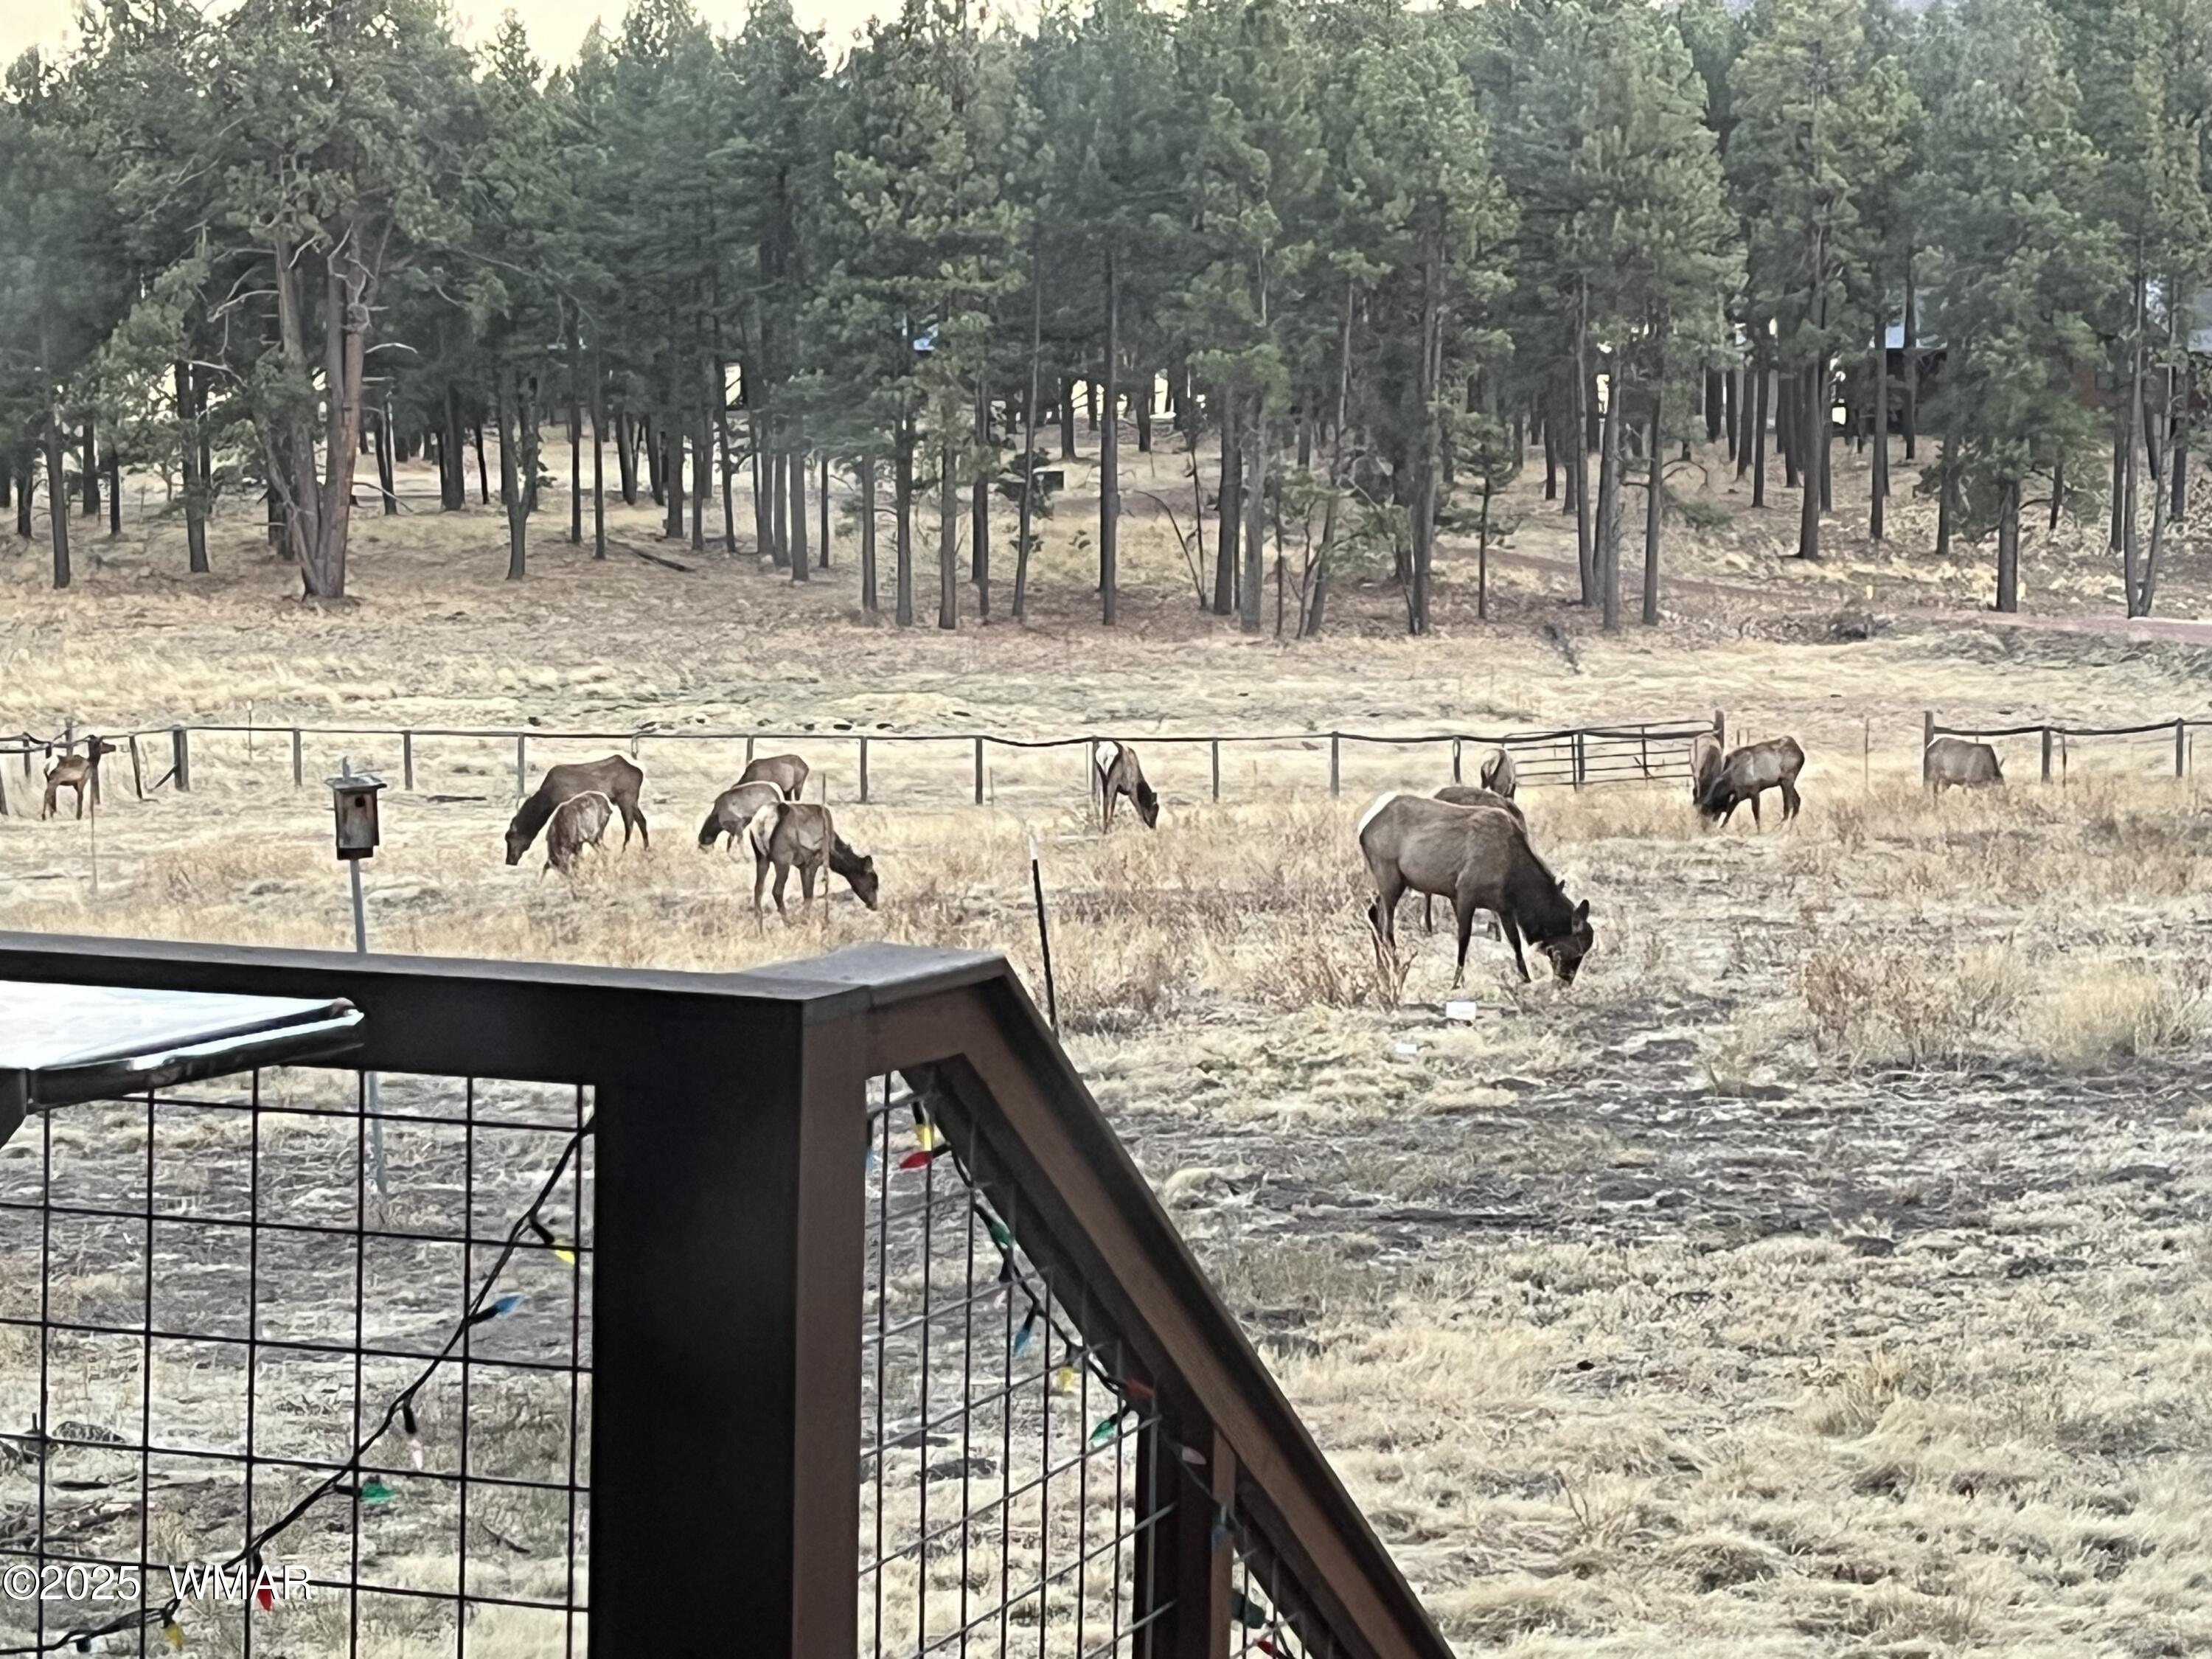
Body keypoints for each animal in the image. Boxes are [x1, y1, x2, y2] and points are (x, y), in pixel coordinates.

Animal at [506, 756, 649, 864]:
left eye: (510, 838)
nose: (509, 861)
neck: (548, 799)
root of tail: (639, 773)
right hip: (632, 801)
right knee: (642, 821)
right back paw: (647, 850)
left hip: (626, 798)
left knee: (629, 826)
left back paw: (623, 854)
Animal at [744, 800, 880, 920]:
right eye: (873, 882)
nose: (874, 905)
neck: (833, 854)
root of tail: (762, 821)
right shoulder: (812, 862)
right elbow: (809, 896)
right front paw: (806, 922)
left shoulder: (802, 866)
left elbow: (807, 896)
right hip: (783, 858)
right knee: (777, 891)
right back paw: (789, 923)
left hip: (761, 857)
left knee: (758, 890)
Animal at [1358, 792, 1594, 989]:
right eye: (1577, 952)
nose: (1565, 982)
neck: (1514, 882)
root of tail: (1363, 828)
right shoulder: (1464, 894)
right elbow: (1464, 938)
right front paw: (1456, 981)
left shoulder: (1503, 908)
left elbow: (1515, 942)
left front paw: (1526, 977)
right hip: (1389, 875)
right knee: (1386, 927)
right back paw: (1395, 967)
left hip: (1391, 881)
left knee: (1373, 914)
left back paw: (1382, 969)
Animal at [1694, 735, 1805, 829]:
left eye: (1708, 813)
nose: (1705, 829)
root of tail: (1801, 752)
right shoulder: (1738, 796)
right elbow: (1728, 815)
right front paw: (1721, 829)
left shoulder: (1754, 792)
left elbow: (1756, 816)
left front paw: (1759, 832)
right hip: (1784, 782)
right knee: (1797, 801)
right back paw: (1790, 828)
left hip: (1787, 780)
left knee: (1788, 806)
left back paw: (1779, 828)